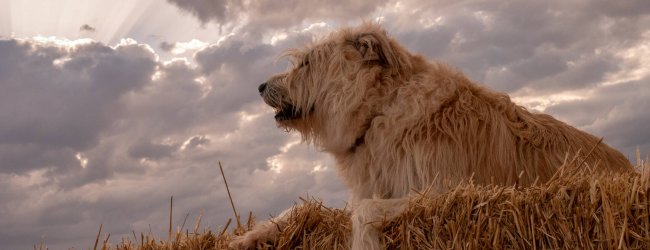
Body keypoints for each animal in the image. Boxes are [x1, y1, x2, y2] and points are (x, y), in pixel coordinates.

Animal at [229, 23, 632, 248]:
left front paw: (363, 243)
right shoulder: (382, 186)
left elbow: (364, 212)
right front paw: (248, 237)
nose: (260, 86)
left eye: (307, 63)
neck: (380, 109)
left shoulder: (442, 193)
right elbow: (304, 208)